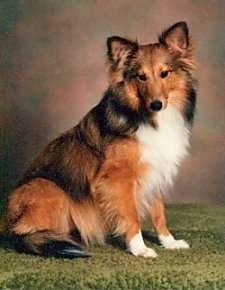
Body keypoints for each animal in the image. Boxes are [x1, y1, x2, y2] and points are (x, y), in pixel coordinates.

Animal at [4, 22, 196, 258]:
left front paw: (169, 241)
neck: (146, 118)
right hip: (48, 188)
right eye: (140, 77)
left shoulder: (155, 170)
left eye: (164, 73)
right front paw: (139, 248)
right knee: (23, 232)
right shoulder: (119, 178)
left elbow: (159, 212)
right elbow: (131, 215)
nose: (156, 104)